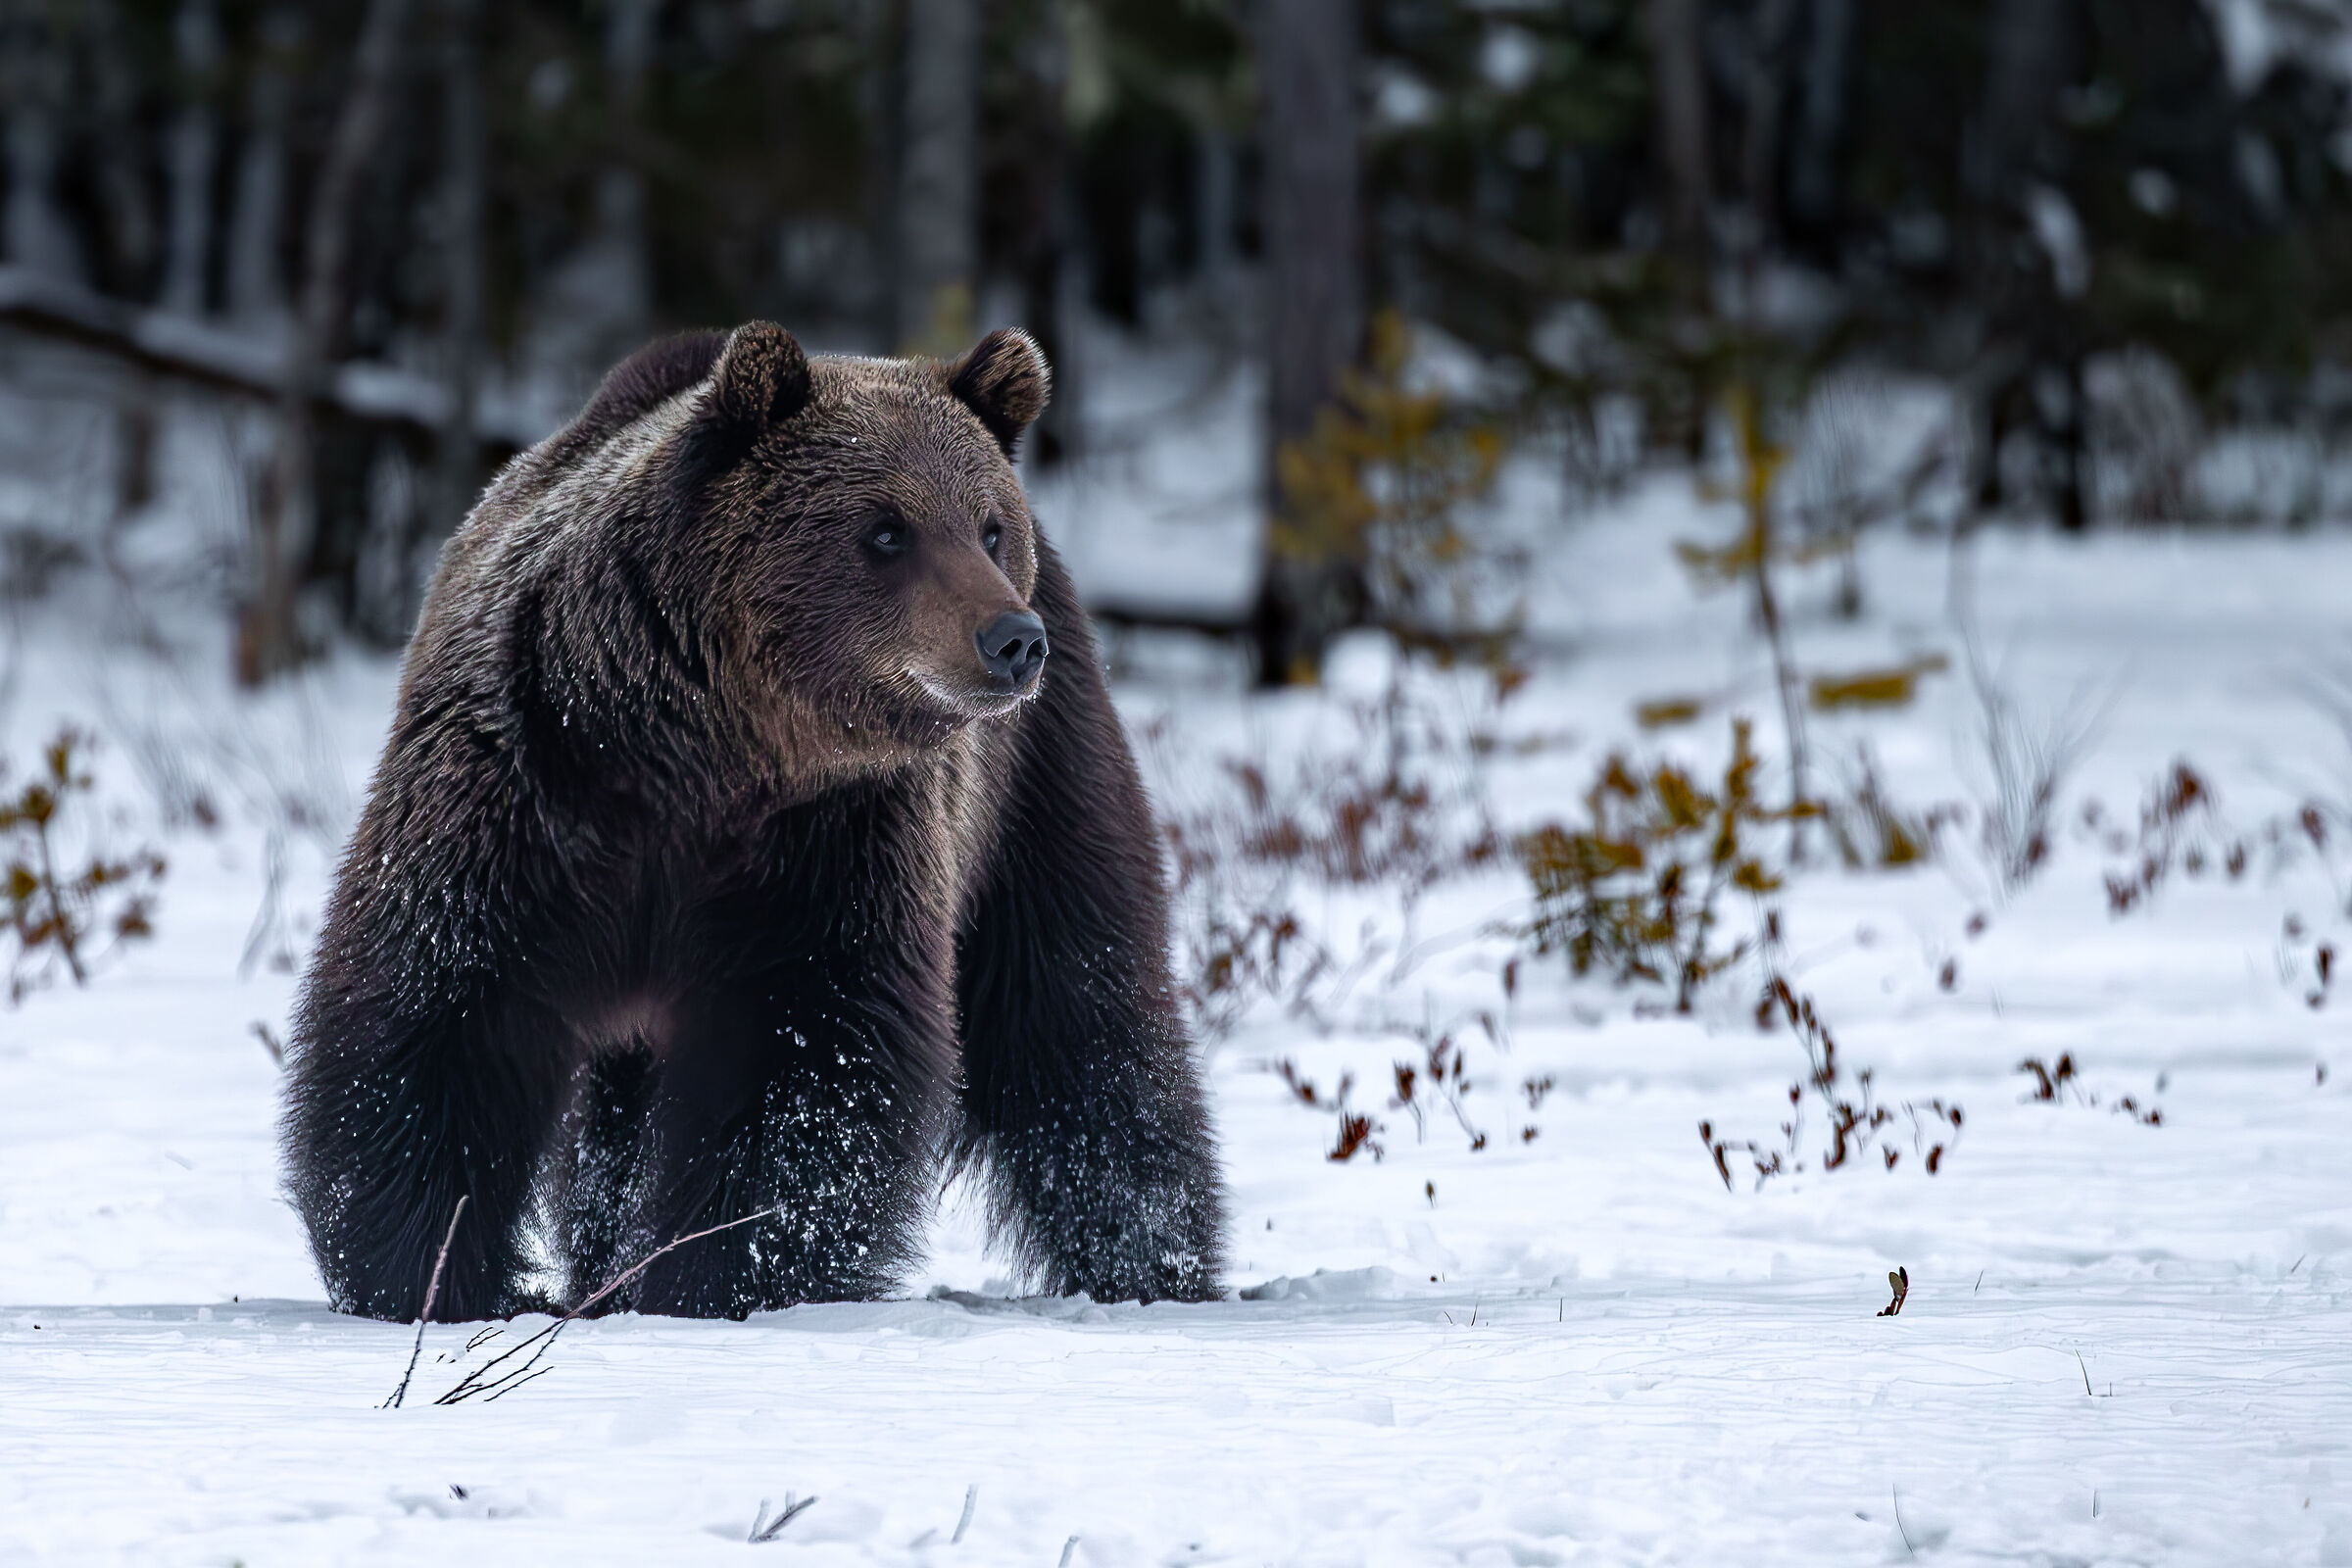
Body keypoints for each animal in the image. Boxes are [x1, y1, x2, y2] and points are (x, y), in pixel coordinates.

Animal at [281, 322, 1227, 1321]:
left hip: (1033, 785)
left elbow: (801, 1062)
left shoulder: (828, 845)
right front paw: (439, 1277)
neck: (696, 758)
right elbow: (441, 1018)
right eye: (885, 529)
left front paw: (713, 1279)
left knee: (1082, 1024)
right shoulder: (522, 796)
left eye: (987, 526)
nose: (1011, 639)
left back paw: (1152, 1267)